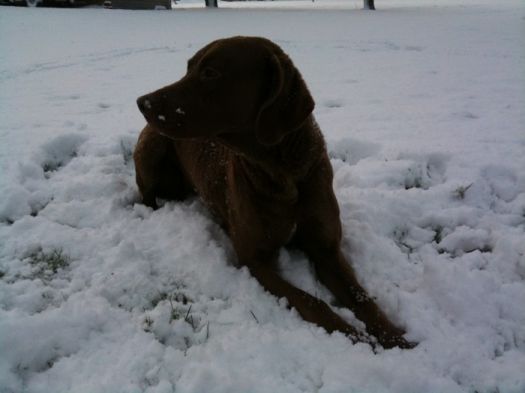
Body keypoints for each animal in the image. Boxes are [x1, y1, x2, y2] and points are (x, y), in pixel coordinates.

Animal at [133, 36, 412, 348]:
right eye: (189, 67)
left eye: (210, 73)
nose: (142, 102)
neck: (283, 175)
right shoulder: (254, 259)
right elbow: (311, 302)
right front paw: (355, 336)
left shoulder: (327, 249)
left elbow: (362, 298)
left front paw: (395, 339)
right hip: (151, 149)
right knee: (145, 193)